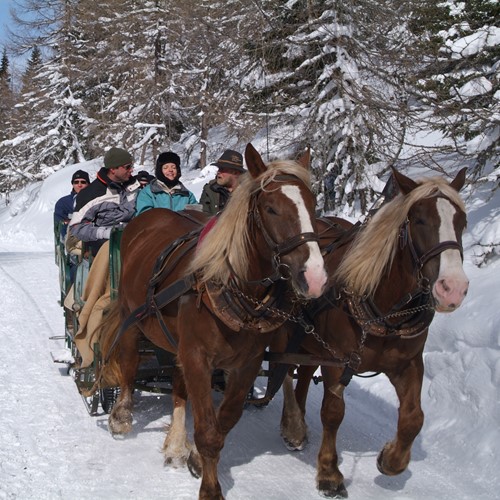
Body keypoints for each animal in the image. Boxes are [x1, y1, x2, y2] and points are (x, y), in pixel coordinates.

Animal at [99, 143, 330, 498]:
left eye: (313, 203)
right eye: (271, 208)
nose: (315, 277)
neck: (232, 286)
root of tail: (147, 218)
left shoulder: (245, 363)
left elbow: (224, 421)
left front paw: (194, 457)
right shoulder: (197, 357)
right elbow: (208, 431)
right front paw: (210, 488)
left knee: (178, 386)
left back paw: (176, 445)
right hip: (130, 315)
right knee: (128, 362)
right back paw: (122, 415)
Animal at [278, 167, 468, 496]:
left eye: (462, 222)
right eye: (419, 220)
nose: (453, 288)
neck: (384, 306)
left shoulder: (407, 363)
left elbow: (413, 418)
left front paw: (391, 460)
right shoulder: (337, 361)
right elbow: (333, 412)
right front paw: (329, 472)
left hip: (310, 342)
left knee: (301, 373)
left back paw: (297, 424)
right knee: (287, 370)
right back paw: (292, 425)